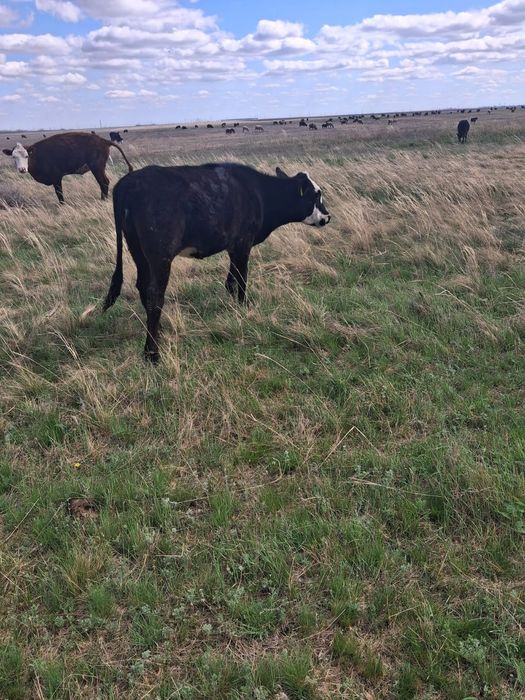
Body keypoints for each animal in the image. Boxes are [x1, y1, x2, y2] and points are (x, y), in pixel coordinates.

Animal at [2, 132, 133, 204]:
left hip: (97, 167)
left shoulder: (56, 178)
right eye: (13, 157)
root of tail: (102, 140)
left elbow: (59, 193)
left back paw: (103, 200)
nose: (22, 169)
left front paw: (62, 205)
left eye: (26, 156)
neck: (37, 155)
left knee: (104, 182)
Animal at [103, 163, 331, 362]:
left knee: (142, 287)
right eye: (315, 195)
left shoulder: (233, 247)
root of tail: (130, 181)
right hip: (160, 257)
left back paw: (158, 331)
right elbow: (241, 279)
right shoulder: (243, 243)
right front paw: (245, 308)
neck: (258, 194)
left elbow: (230, 280)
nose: (327, 217)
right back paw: (152, 353)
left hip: (138, 251)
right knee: (154, 295)